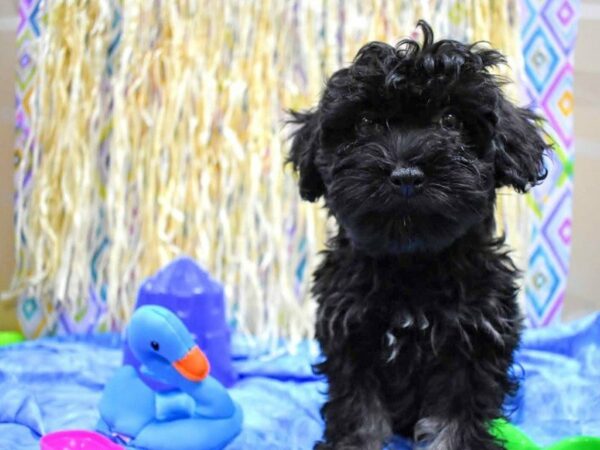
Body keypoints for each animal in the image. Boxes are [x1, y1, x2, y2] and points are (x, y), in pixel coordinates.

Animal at [286, 20, 548, 450]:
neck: (413, 263)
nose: (406, 175)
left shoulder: (473, 340)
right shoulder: (351, 337)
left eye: (452, 121)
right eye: (365, 124)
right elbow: (358, 410)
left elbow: (456, 418)